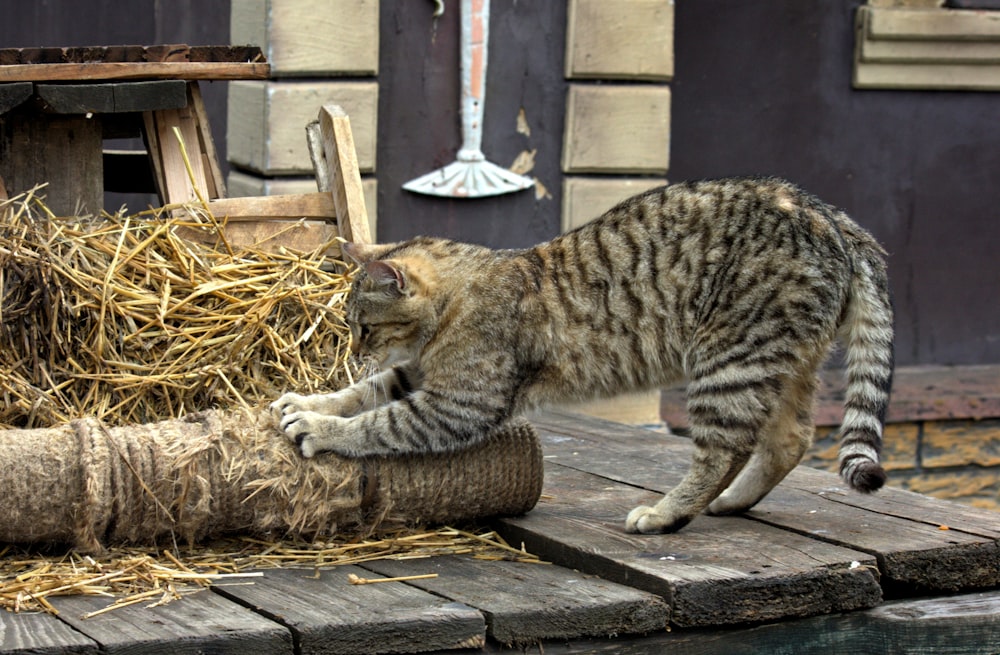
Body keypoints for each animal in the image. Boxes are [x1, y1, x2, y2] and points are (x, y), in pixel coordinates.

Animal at [270, 177, 896, 536]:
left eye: (363, 326)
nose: (355, 346)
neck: (464, 294)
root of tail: (833, 217)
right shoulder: (420, 374)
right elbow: (364, 392)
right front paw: (308, 401)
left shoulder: (460, 402)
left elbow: (379, 421)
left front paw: (320, 429)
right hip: (788, 363)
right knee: (791, 438)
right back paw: (731, 502)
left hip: (731, 359)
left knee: (723, 450)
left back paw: (670, 512)